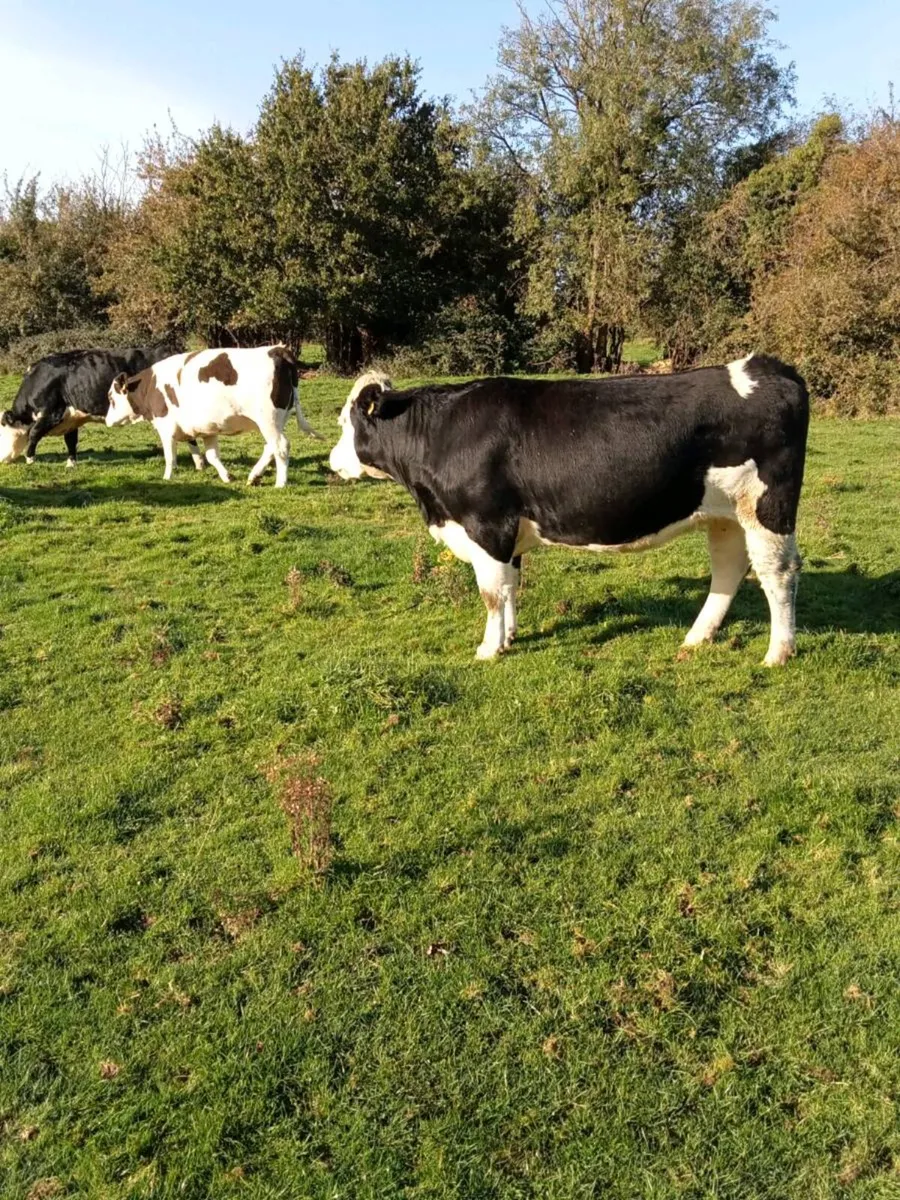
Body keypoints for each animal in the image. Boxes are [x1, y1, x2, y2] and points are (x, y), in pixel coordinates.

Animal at [0, 345, 177, 467]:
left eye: (2, 434)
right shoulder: (70, 419)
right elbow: (70, 441)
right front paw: (71, 464)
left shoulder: (52, 414)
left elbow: (34, 433)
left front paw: (30, 459)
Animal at [106, 345, 322, 486]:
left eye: (111, 398)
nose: (107, 420)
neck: (150, 386)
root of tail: (278, 350)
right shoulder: (208, 430)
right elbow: (211, 456)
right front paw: (227, 476)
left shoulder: (166, 428)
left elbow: (170, 457)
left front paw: (167, 477)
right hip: (277, 420)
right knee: (271, 447)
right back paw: (254, 476)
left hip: (268, 420)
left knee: (281, 447)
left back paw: (280, 483)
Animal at [328, 356, 809, 666]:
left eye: (346, 423)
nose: (333, 461)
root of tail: (770, 366)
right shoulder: (508, 531)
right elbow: (511, 586)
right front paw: (510, 636)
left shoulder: (486, 524)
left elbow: (491, 593)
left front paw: (488, 649)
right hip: (726, 516)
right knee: (728, 569)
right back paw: (697, 637)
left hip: (767, 509)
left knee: (778, 574)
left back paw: (778, 652)